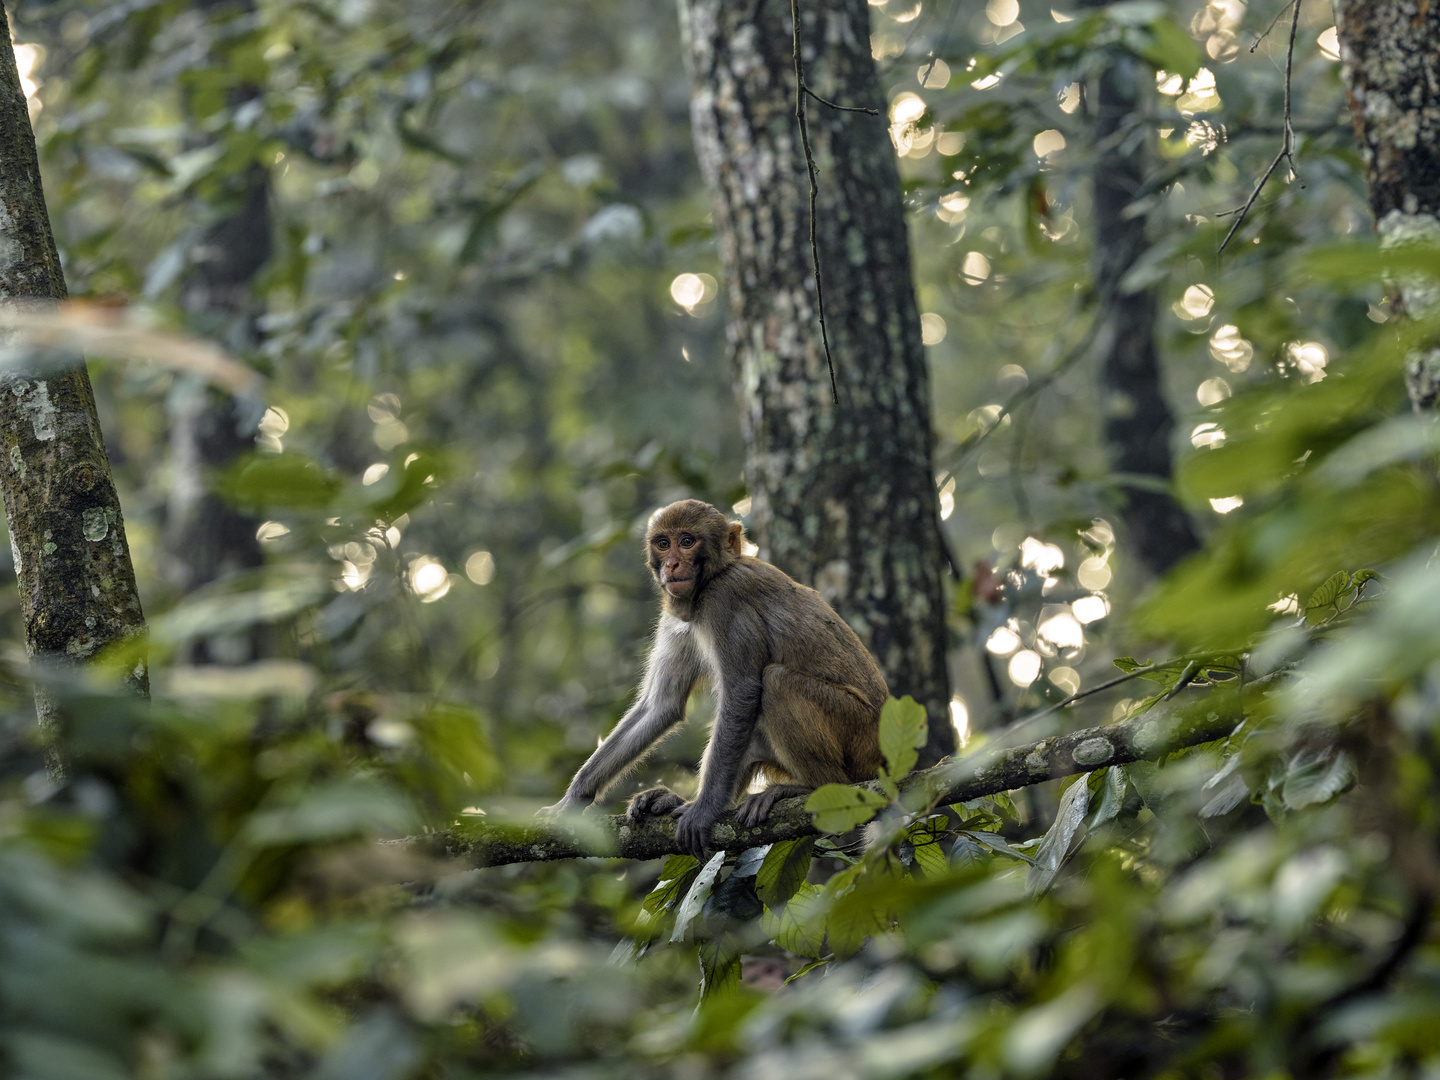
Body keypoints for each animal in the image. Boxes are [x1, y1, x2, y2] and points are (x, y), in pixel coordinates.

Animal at [538, 501, 881, 864]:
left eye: (687, 541)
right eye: (664, 543)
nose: (672, 564)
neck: (710, 581)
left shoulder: (725, 601)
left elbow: (742, 692)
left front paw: (704, 810)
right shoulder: (677, 615)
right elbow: (660, 706)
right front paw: (571, 801)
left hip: (855, 730)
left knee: (774, 683)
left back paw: (812, 786)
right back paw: (672, 800)